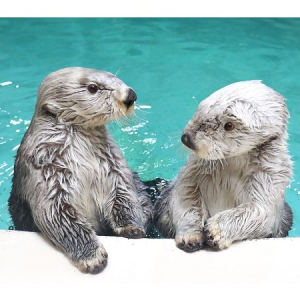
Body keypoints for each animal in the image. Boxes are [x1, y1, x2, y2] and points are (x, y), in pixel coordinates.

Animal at [8, 68, 152, 274]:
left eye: (115, 77)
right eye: (93, 88)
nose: (130, 95)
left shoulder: (114, 166)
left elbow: (124, 195)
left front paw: (132, 228)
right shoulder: (44, 172)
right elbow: (59, 218)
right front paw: (92, 257)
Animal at [155, 81, 292, 252]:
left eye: (229, 125)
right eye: (200, 109)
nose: (186, 137)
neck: (231, 168)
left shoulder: (269, 179)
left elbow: (260, 211)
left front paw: (215, 231)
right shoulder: (192, 172)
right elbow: (185, 197)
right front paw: (190, 236)